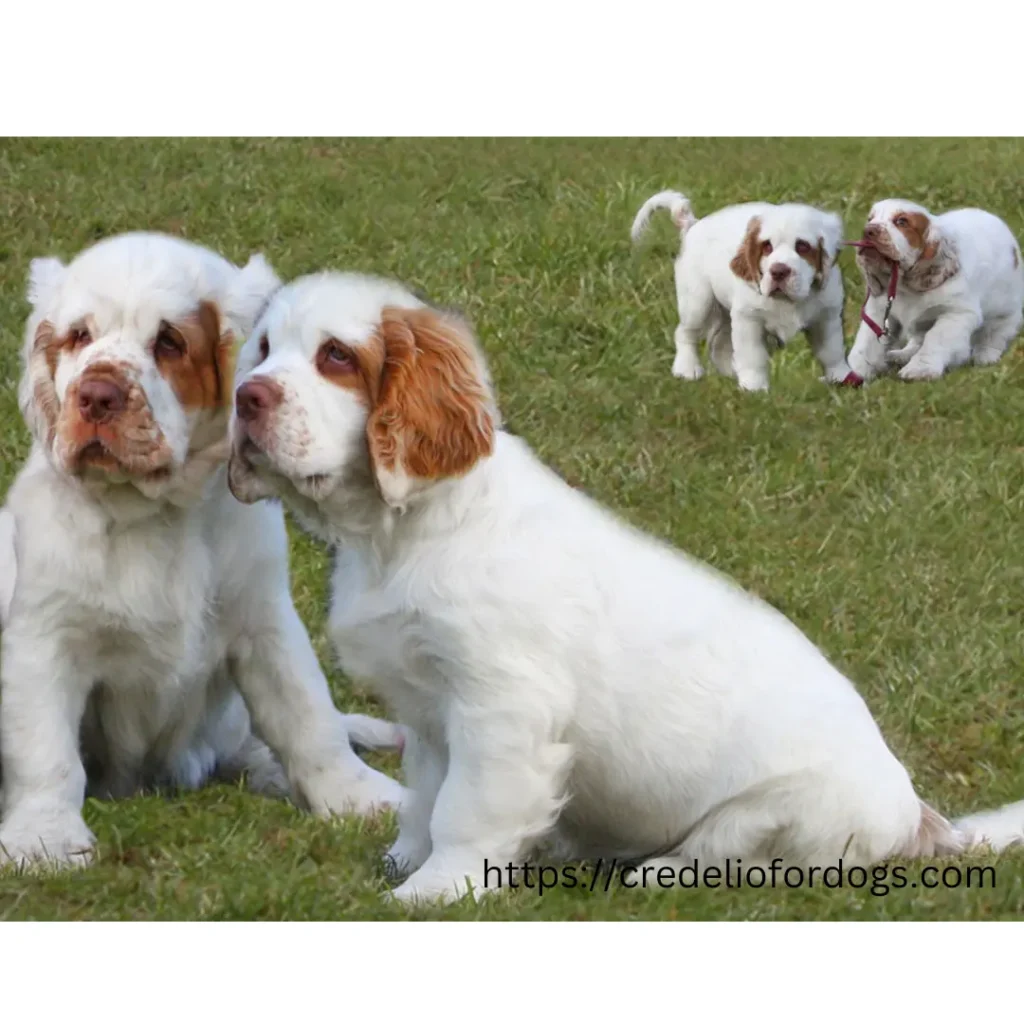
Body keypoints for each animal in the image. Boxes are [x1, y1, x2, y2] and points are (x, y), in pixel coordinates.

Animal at [1, 235, 407, 868]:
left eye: (169, 342)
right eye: (79, 337)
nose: (95, 395)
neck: (154, 513)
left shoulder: (264, 622)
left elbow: (308, 716)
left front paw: (361, 798)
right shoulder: (44, 637)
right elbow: (45, 747)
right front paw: (45, 838)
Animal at [226, 270, 1024, 905]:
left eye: (336, 356)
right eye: (261, 350)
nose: (246, 398)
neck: (401, 533)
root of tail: (920, 818)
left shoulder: (503, 707)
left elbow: (466, 810)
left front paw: (433, 891)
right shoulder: (426, 713)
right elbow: (423, 799)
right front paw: (399, 864)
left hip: (777, 815)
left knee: (746, 866)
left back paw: (651, 872)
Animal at [630, 190, 856, 389]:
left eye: (802, 246)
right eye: (767, 247)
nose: (778, 271)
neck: (788, 300)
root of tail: (693, 225)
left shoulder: (826, 317)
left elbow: (832, 351)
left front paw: (841, 378)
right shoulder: (749, 319)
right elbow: (752, 355)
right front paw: (754, 388)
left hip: (725, 313)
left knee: (719, 345)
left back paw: (730, 374)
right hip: (697, 301)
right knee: (686, 333)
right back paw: (687, 369)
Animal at [847, 197, 1024, 382]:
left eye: (902, 221)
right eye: (870, 219)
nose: (868, 231)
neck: (904, 287)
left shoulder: (957, 313)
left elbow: (935, 339)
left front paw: (919, 370)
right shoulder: (879, 312)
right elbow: (866, 343)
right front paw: (852, 372)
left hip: (1005, 313)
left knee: (994, 336)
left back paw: (985, 357)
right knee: (917, 340)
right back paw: (900, 355)